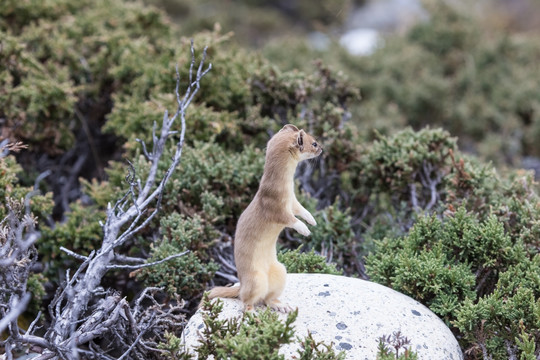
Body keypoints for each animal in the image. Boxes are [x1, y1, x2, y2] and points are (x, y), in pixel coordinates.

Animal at [208, 125, 322, 310]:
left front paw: (312, 220)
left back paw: (282, 305)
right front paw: (304, 229)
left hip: (280, 271)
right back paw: (252, 312)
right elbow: (290, 219)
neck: (287, 189)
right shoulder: (274, 207)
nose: (322, 149)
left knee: (268, 298)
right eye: (314, 143)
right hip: (256, 279)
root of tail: (241, 283)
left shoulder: (292, 200)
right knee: (246, 299)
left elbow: (301, 210)